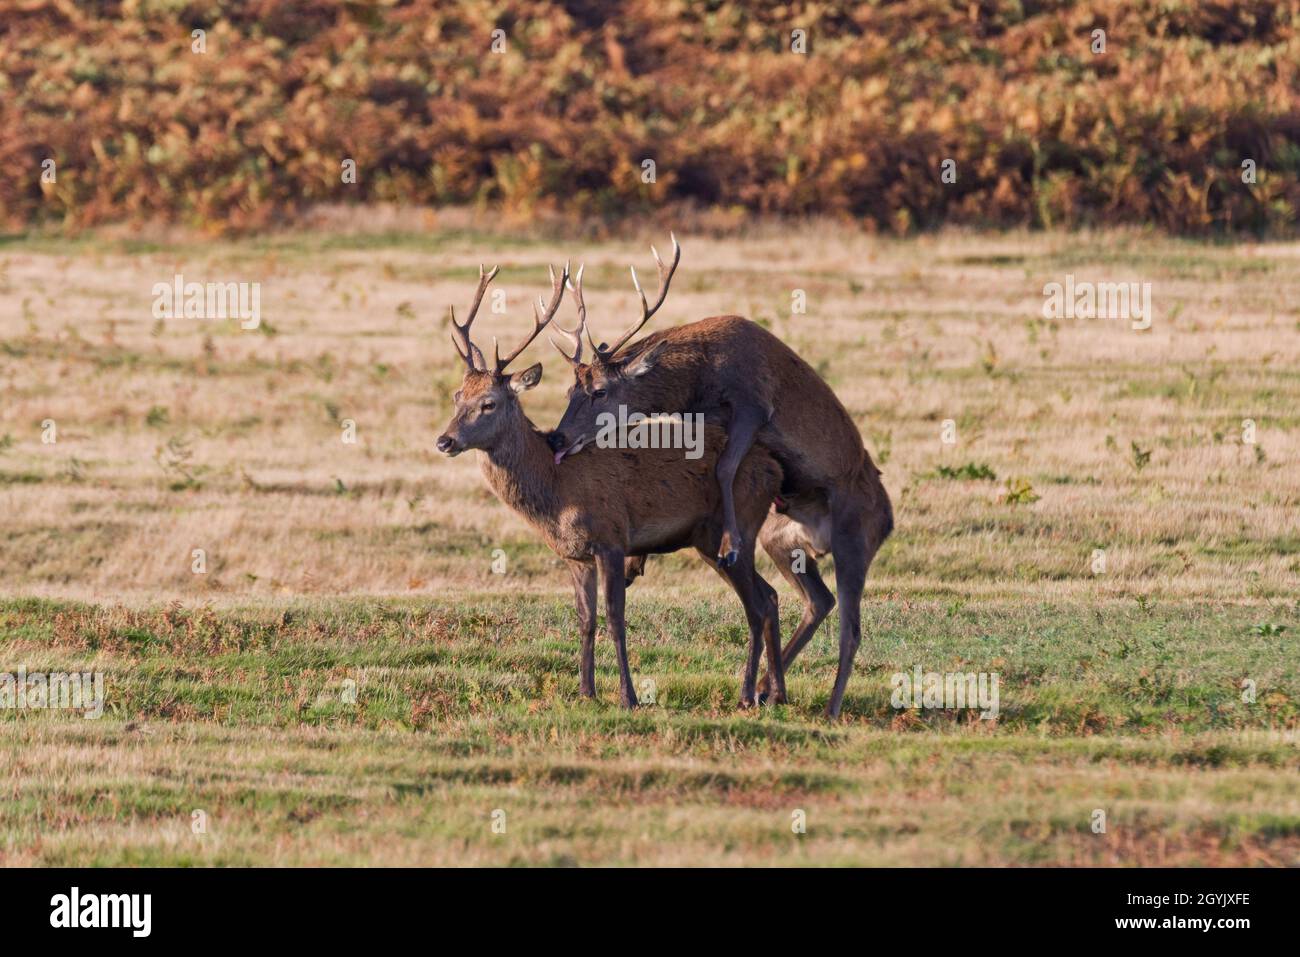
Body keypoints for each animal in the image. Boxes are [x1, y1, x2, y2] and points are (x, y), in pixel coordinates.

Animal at [434, 261, 789, 709]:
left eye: (489, 403)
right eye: (456, 395)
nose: (444, 441)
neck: (557, 493)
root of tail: (775, 468)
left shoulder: (612, 538)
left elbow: (615, 618)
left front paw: (628, 696)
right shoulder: (574, 555)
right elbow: (585, 620)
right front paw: (585, 692)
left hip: (737, 524)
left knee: (758, 604)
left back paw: (747, 694)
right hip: (708, 542)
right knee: (771, 597)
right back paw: (777, 694)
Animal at [546, 236, 893, 718]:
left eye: (599, 391)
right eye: (568, 391)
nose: (557, 437)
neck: (699, 378)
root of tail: (890, 518)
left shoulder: (753, 401)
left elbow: (725, 467)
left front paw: (728, 541)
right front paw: (636, 561)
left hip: (856, 535)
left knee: (851, 627)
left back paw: (828, 708)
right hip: (782, 539)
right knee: (818, 599)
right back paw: (768, 688)